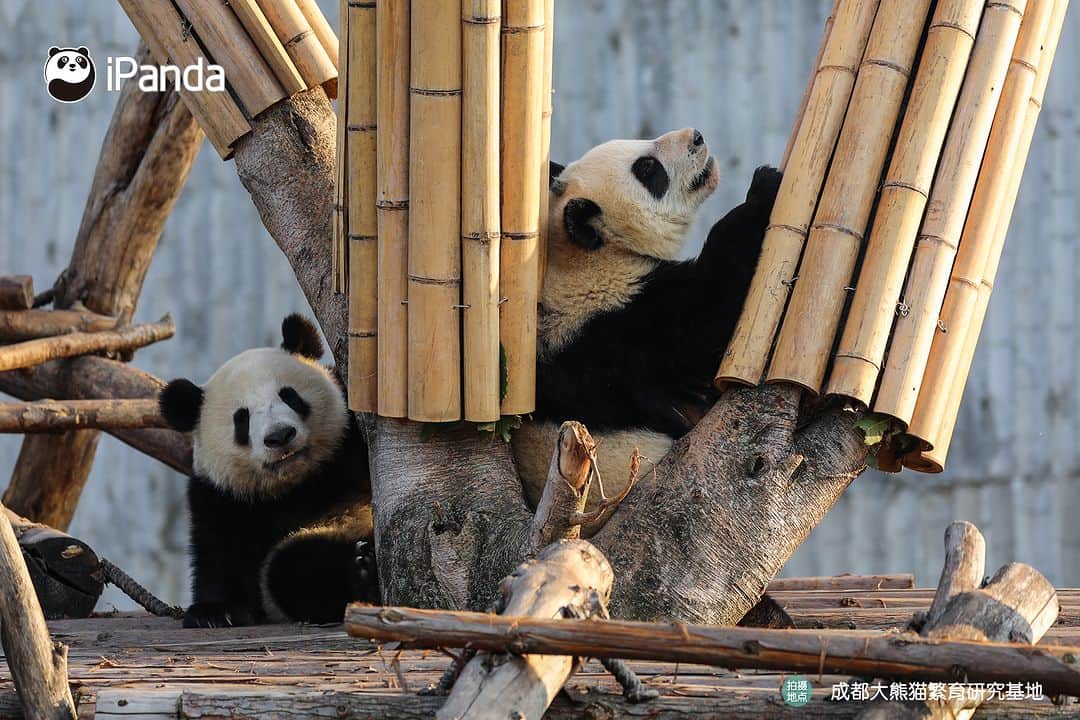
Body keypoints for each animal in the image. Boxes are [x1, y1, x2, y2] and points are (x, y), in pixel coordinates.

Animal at [159, 314, 377, 627]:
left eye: (290, 396)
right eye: (242, 419)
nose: (280, 435)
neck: (302, 482)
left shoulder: (349, 442)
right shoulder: (224, 495)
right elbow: (219, 551)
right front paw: (214, 612)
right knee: (295, 569)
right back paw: (361, 570)